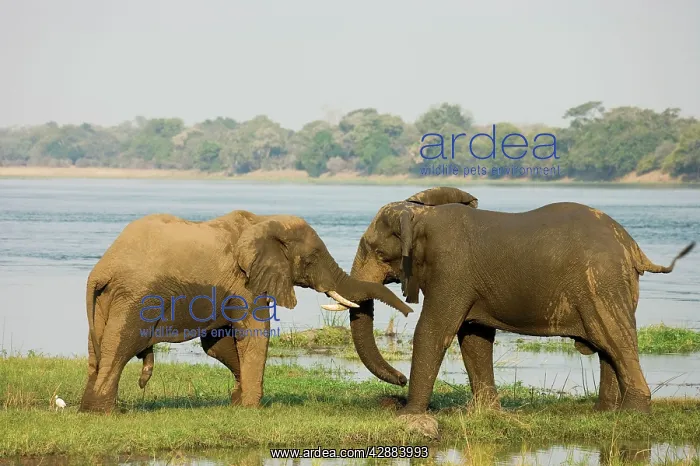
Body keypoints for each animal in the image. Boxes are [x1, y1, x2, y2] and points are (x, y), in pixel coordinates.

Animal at [78, 210, 414, 413]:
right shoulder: (246, 282)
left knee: (98, 351)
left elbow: (217, 344)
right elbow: (254, 333)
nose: (402, 380)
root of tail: (103, 268)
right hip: (136, 296)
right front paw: (252, 408)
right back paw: (106, 412)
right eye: (312, 259)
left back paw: (87, 409)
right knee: (122, 345)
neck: (264, 220)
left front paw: (237, 402)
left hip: (109, 299)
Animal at [326, 186, 695, 415]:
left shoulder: (451, 268)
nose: (399, 382)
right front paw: (484, 413)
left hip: (603, 283)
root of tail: (632, 246)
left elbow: (433, 331)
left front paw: (408, 416)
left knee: (616, 340)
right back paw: (603, 413)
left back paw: (631, 414)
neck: (421, 217)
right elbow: (474, 337)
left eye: (377, 252)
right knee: (608, 347)